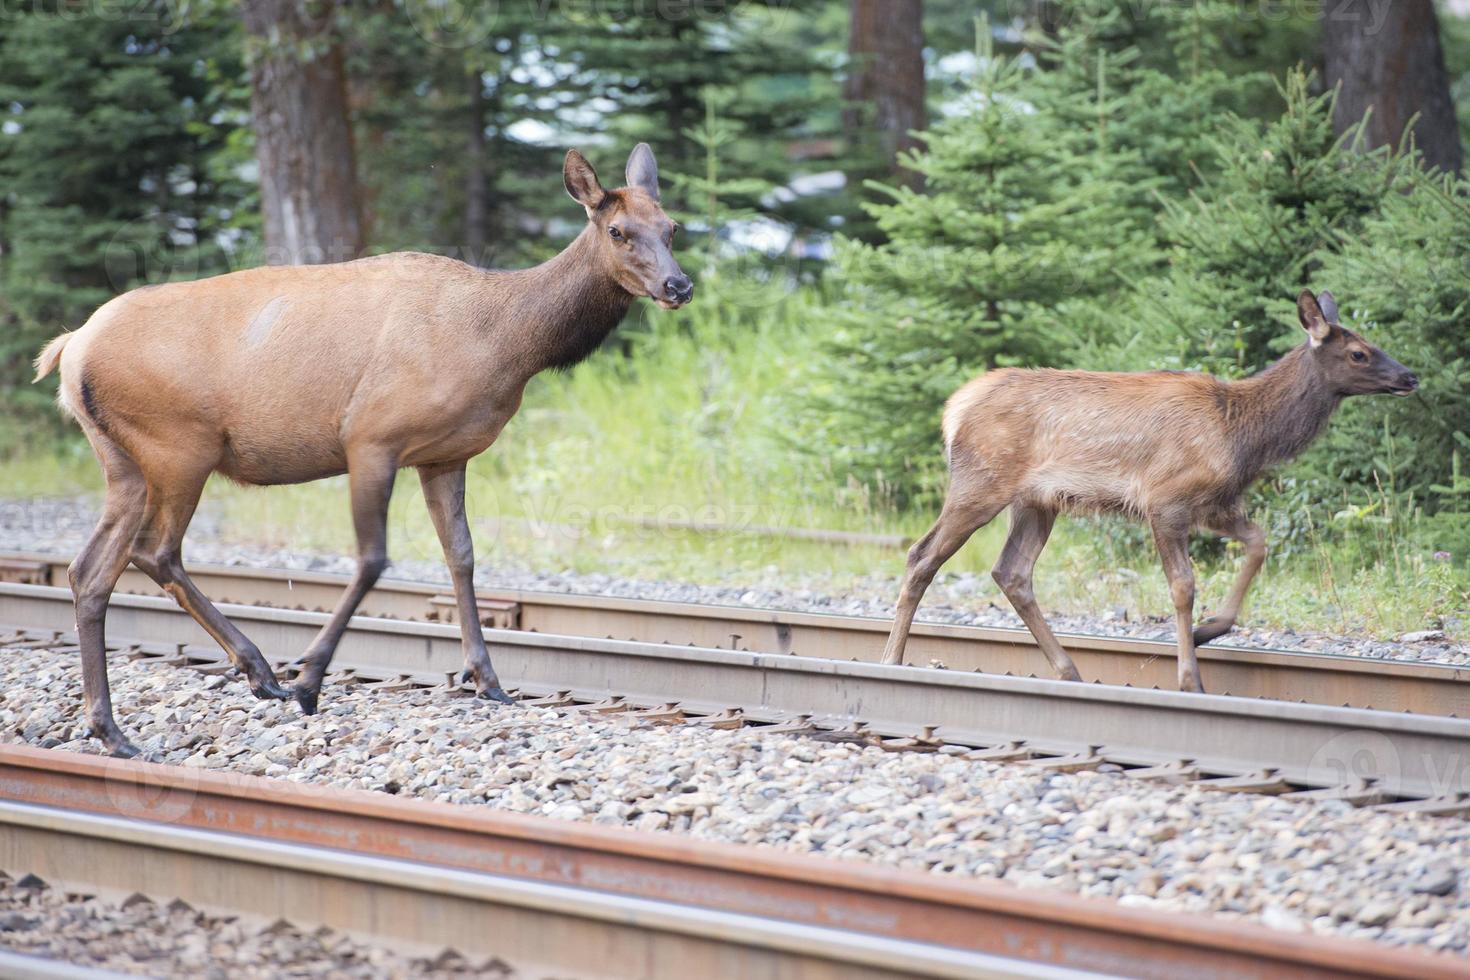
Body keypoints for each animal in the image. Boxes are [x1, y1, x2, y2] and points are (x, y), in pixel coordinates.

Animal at [876, 290, 1417, 690]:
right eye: (1359, 352)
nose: (1410, 376)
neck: (1244, 435)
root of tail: (954, 409)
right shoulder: (1166, 501)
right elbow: (1182, 586)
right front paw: (1189, 677)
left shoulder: (1217, 504)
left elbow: (1259, 543)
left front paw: (1209, 630)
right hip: (980, 484)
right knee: (922, 556)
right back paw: (891, 661)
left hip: (1037, 502)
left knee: (1011, 572)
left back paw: (1069, 670)